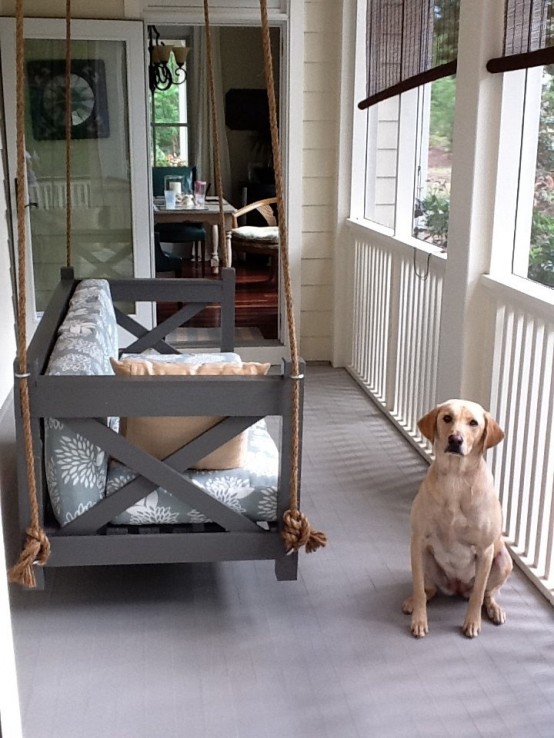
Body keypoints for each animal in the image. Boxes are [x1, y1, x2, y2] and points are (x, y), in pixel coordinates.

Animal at [398, 400, 512, 636]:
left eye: (473, 423)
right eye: (447, 418)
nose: (455, 440)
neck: (455, 479)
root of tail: (458, 587)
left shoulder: (485, 550)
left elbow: (478, 595)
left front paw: (472, 622)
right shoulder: (418, 540)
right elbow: (418, 587)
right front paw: (419, 620)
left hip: (503, 561)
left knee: (487, 593)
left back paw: (494, 609)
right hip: (424, 557)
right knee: (428, 588)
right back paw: (414, 601)